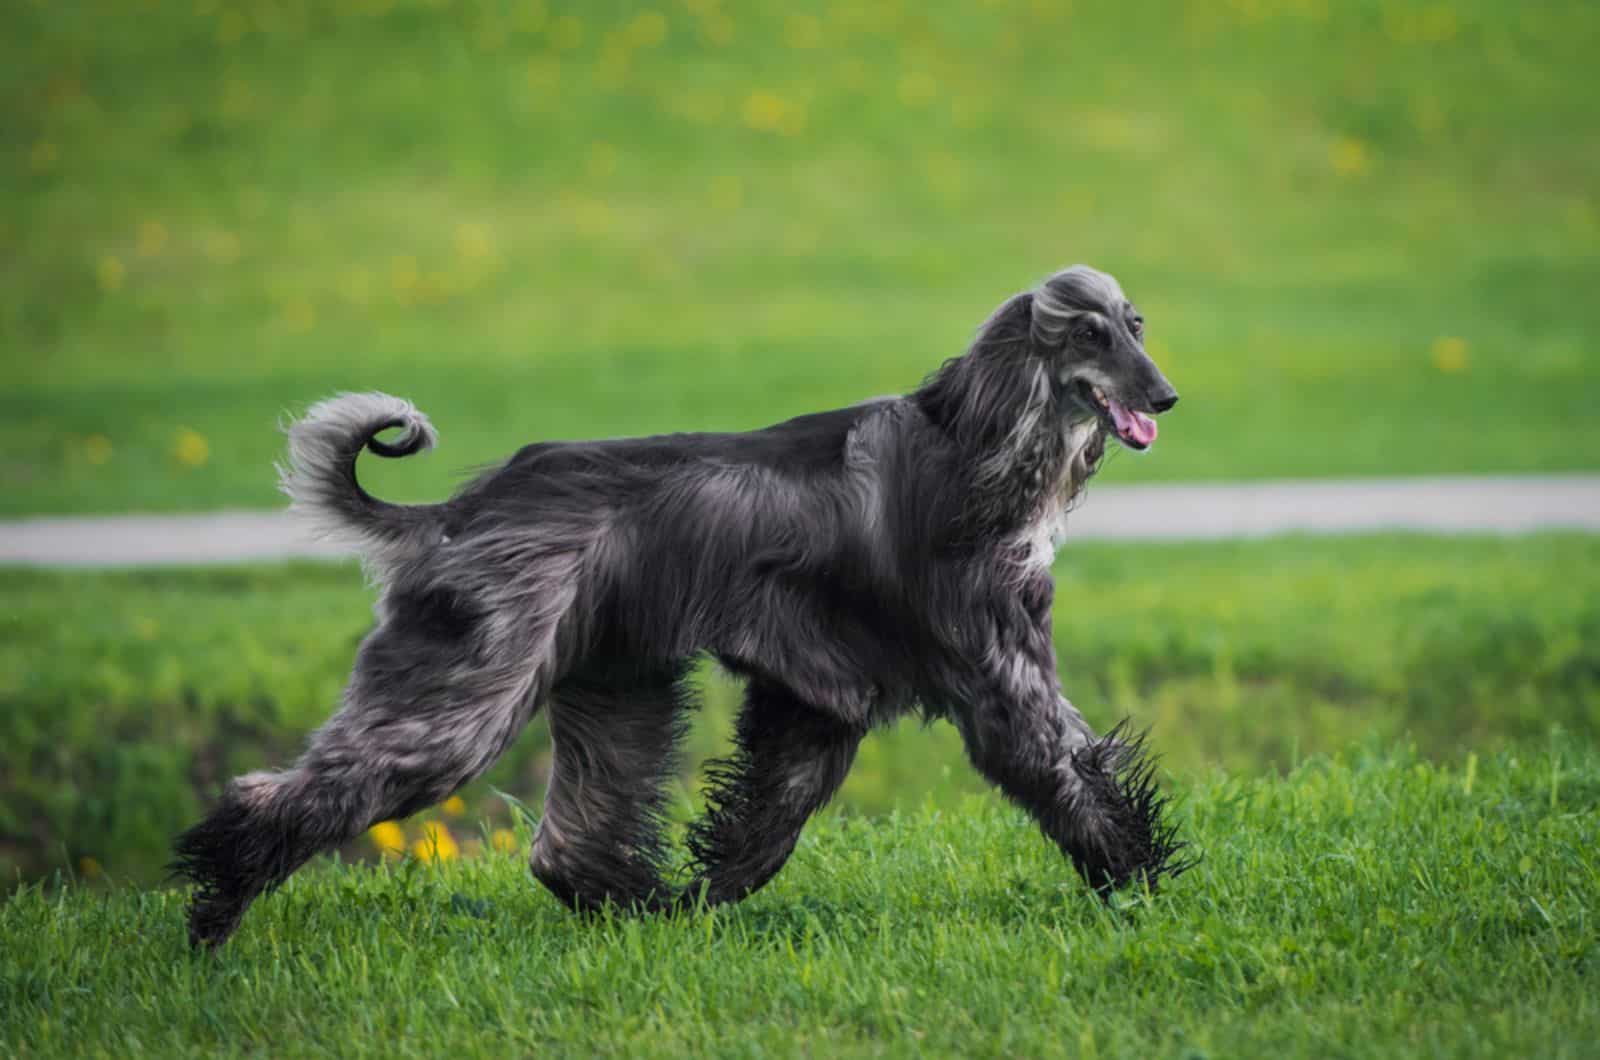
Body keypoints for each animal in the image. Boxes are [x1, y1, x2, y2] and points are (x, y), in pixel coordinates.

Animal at [178, 264, 1190, 947]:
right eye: (1090, 335)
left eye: (1136, 324)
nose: (1168, 394)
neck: (979, 446)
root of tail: (459, 512)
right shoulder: (997, 668)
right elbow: (1067, 771)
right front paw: (1143, 881)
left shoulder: (816, 696)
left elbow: (769, 813)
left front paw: (707, 898)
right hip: (470, 681)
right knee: (303, 788)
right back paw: (213, 912)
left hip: (615, 680)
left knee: (566, 842)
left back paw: (638, 911)